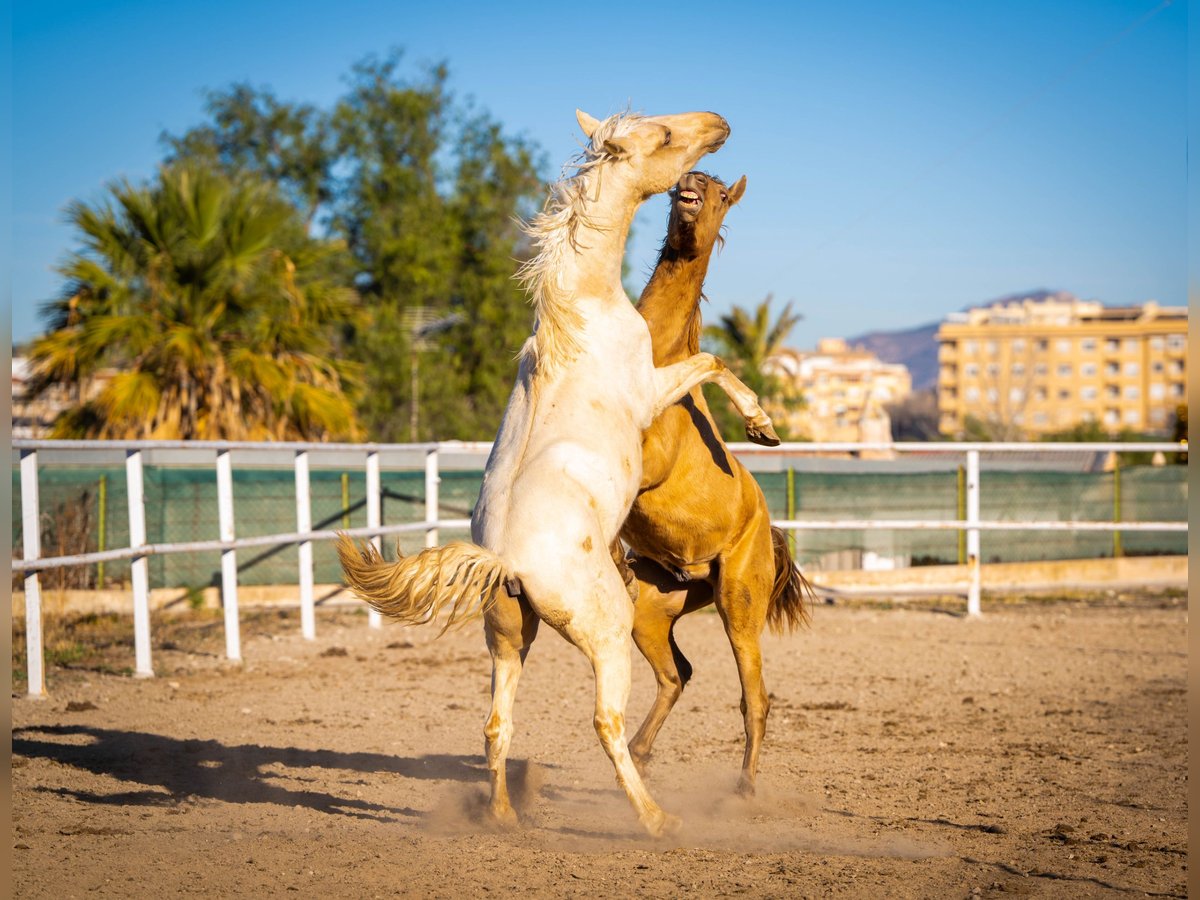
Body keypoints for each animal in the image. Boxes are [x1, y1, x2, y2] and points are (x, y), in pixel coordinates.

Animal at [338, 107, 777, 840]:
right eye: (663, 137)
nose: (717, 123)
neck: (582, 311)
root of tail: (507, 562)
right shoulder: (652, 393)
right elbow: (713, 362)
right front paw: (760, 423)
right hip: (610, 635)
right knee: (610, 721)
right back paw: (657, 819)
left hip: (508, 637)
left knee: (496, 726)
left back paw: (504, 815)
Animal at [619, 172, 816, 801]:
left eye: (724, 195)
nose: (694, 182)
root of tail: (768, 532)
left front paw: (761, 423)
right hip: (654, 611)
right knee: (675, 674)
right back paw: (639, 754)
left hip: (738, 605)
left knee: (755, 699)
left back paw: (745, 789)